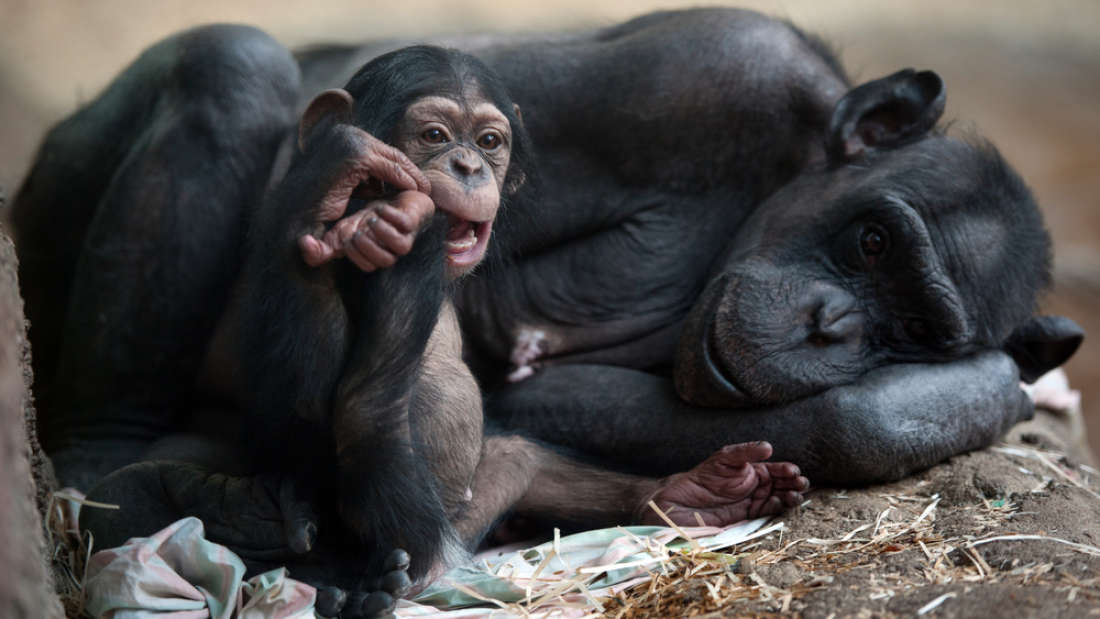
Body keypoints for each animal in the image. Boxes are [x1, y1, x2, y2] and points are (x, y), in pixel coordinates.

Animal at [12, 6, 1078, 619]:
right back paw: (109, 472)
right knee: (231, 69)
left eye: (917, 327)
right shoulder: (709, 71)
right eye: (872, 243)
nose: (831, 325)